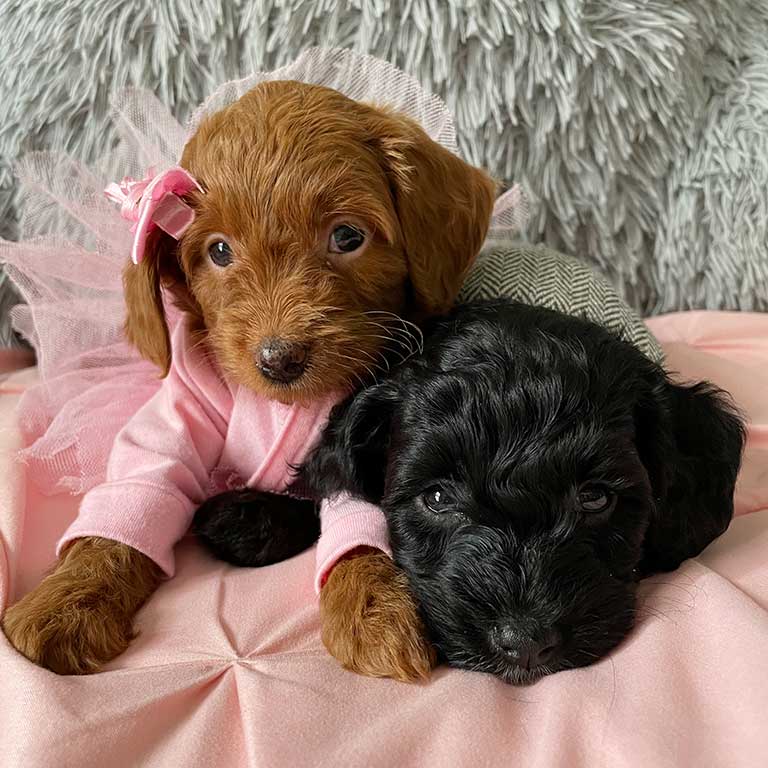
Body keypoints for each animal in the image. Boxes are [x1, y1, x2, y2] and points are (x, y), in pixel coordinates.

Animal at [1, 79, 492, 680]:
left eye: (346, 237)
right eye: (218, 251)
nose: (280, 358)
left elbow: (360, 522)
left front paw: (375, 605)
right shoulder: (179, 411)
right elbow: (138, 489)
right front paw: (69, 598)